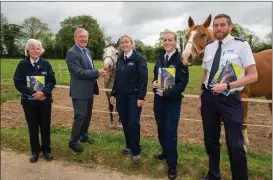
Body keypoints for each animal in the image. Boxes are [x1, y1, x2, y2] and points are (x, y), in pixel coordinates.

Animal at [182, 14, 270, 150]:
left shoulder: (244, 98)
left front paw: (244, 144)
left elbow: (243, 122)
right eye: (187, 36)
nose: (186, 57)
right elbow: (223, 122)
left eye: (202, 35)